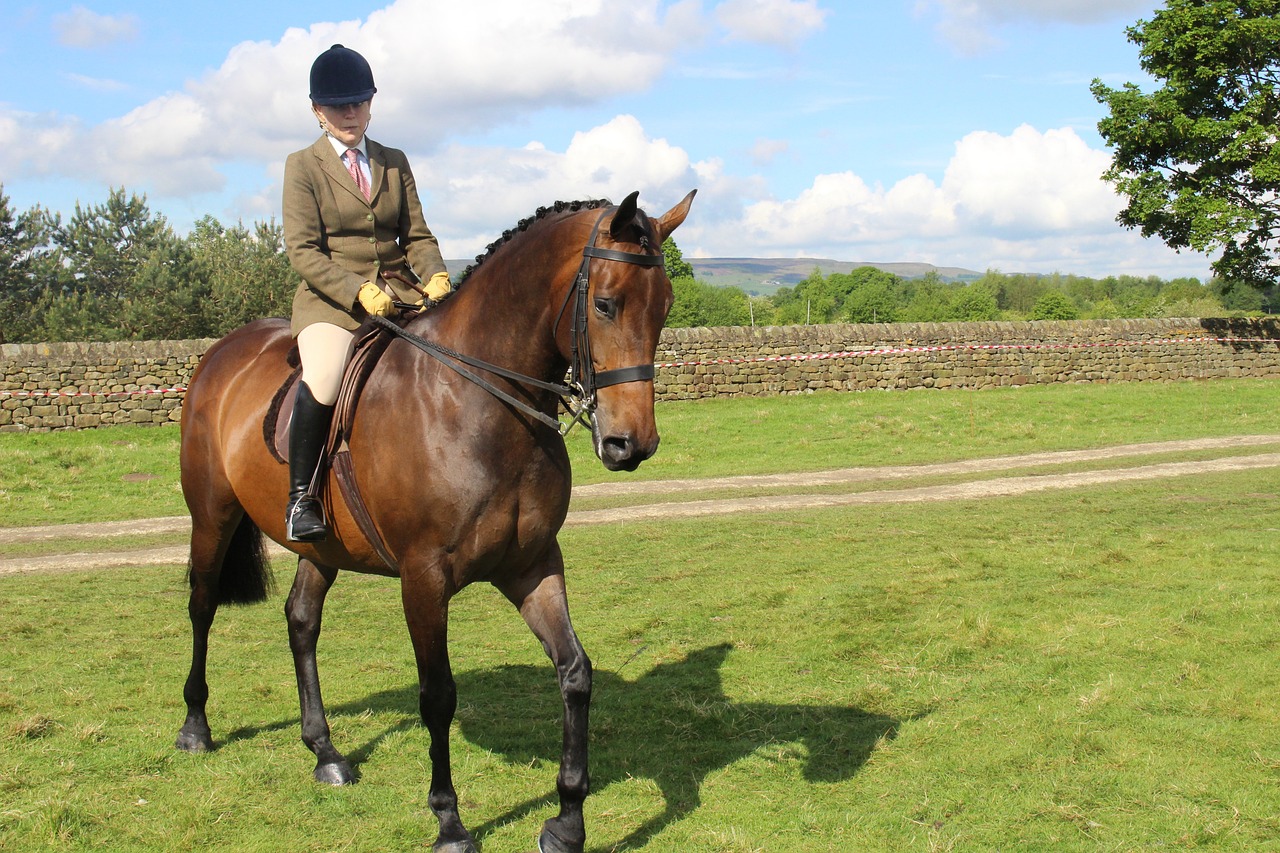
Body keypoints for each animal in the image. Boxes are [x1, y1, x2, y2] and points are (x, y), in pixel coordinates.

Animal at [174, 189, 696, 853]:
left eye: (665, 307)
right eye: (605, 304)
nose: (632, 445)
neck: (481, 402)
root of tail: (220, 352)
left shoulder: (532, 565)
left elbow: (575, 672)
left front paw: (566, 822)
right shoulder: (423, 579)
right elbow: (438, 695)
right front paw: (449, 823)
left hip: (322, 547)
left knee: (301, 621)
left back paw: (325, 753)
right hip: (211, 517)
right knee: (203, 604)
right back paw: (195, 727)